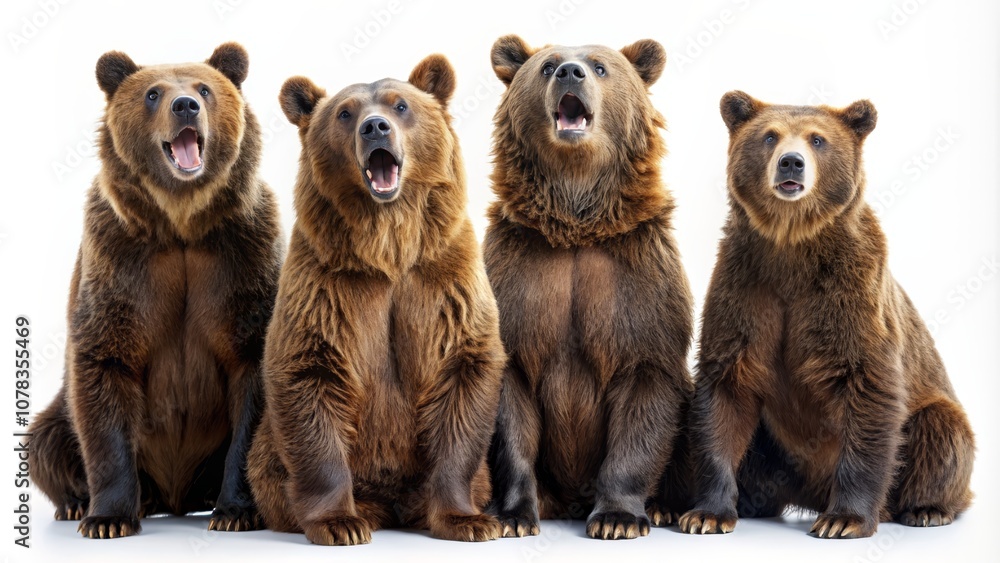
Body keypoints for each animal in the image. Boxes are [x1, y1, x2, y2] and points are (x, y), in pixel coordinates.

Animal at [27, 43, 283, 539]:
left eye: (204, 88)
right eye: (152, 93)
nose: (185, 105)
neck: (180, 224)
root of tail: (174, 499)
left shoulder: (243, 255)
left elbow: (252, 365)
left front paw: (236, 512)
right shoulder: (120, 257)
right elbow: (106, 362)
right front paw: (107, 518)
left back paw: (205, 499)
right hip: (59, 417)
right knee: (44, 440)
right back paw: (82, 502)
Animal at [246, 54, 506, 546]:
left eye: (400, 104)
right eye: (344, 113)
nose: (375, 127)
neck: (388, 244)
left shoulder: (442, 278)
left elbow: (462, 376)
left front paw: (469, 520)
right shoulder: (327, 283)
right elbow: (310, 374)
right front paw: (339, 523)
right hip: (267, 447)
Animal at [483, 35, 695, 540]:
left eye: (600, 66)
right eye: (547, 66)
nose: (571, 72)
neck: (577, 225)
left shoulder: (637, 280)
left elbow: (646, 387)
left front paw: (617, 518)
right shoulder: (517, 278)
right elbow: (510, 406)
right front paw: (514, 515)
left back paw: (666, 508)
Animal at [678, 91, 975, 539]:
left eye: (817, 140)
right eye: (769, 136)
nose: (791, 162)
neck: (792, 247)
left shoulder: (851, 296)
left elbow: (868, 386)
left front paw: (844, 519)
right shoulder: (746, 289)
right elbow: (726, 389)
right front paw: (707, 513)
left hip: (933, 411)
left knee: (941, 430)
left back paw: (926, 509)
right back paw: (751, 501)